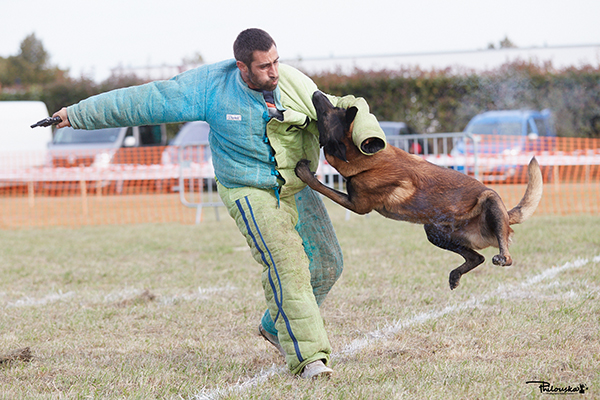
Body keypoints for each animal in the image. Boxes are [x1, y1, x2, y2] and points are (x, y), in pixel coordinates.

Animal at [295, 91, 543, 289]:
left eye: (328, 113)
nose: (316, 92)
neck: (368, 160)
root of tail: (507, 216)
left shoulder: (358, 205)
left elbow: (323, 187)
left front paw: (305, 174)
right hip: (434, 232)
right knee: (476, 258)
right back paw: (455, 276)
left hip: (489, 201)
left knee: (503, 256)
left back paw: (501, 257)